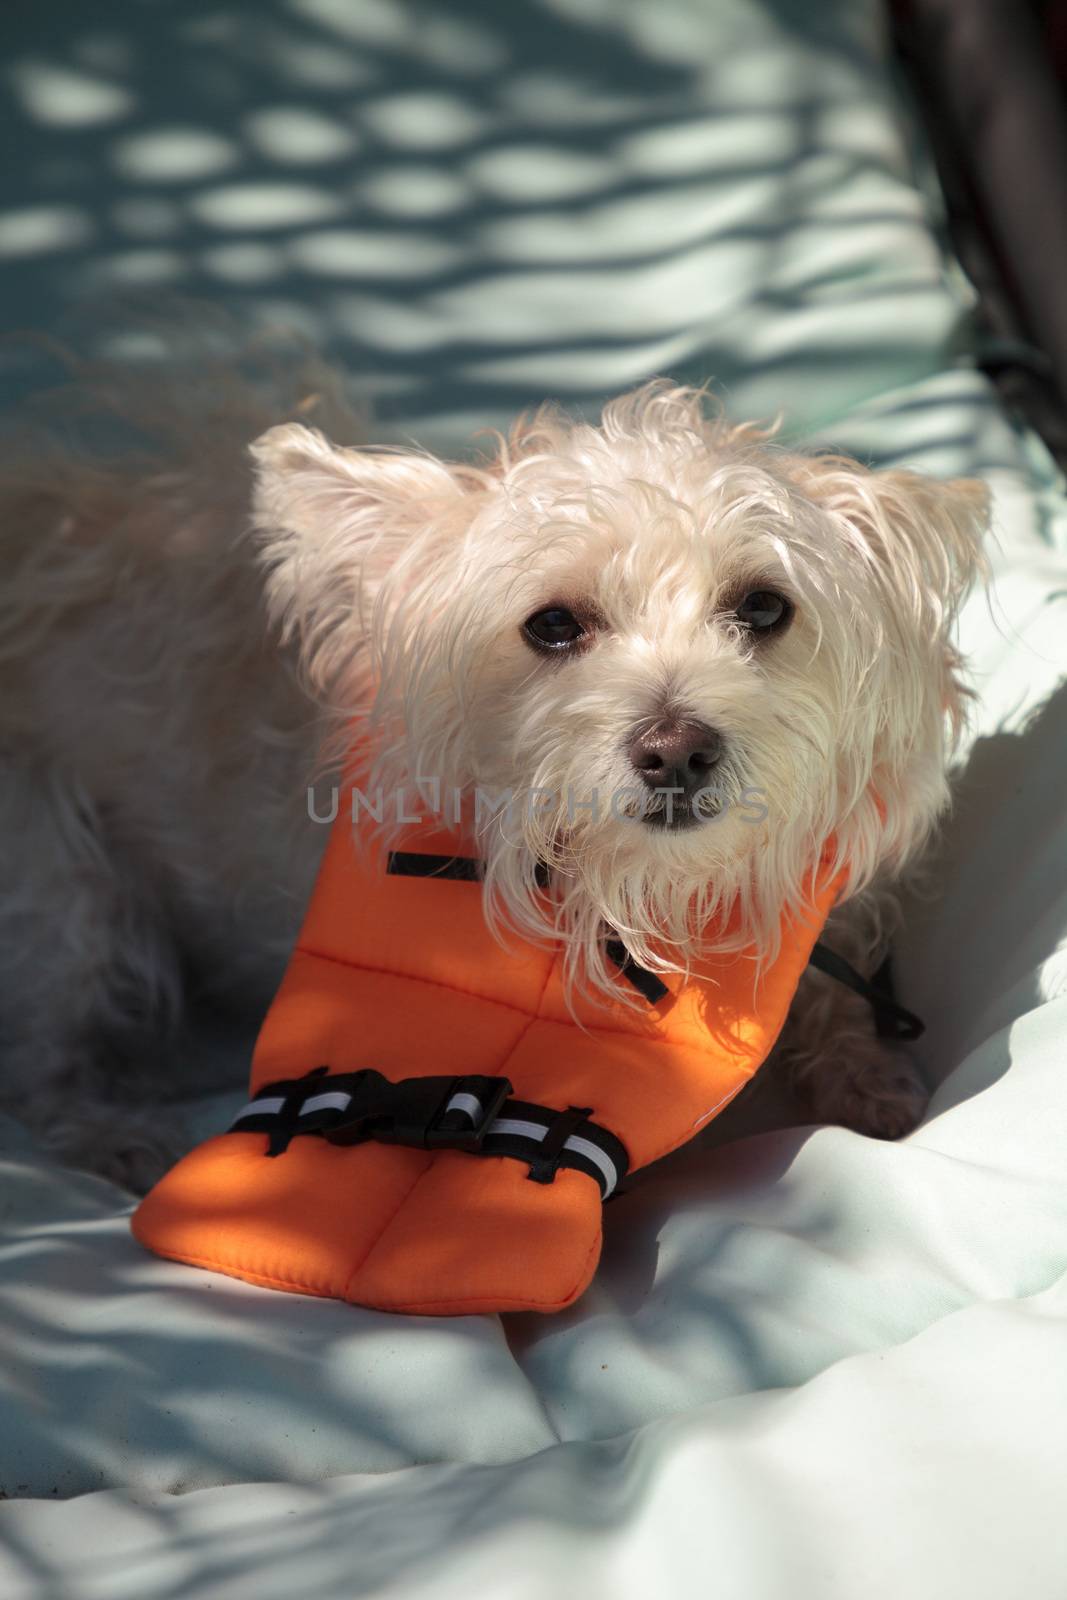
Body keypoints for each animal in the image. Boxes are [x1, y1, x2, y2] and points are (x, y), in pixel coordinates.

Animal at [0, 363, 991, 1190]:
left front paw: (868, 1078)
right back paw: (115, 1133)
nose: (675, 748)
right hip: (64, 896)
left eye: (761, 607)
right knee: (47, 1059)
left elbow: (835, 993)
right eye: (551, 625)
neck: (651, 897)